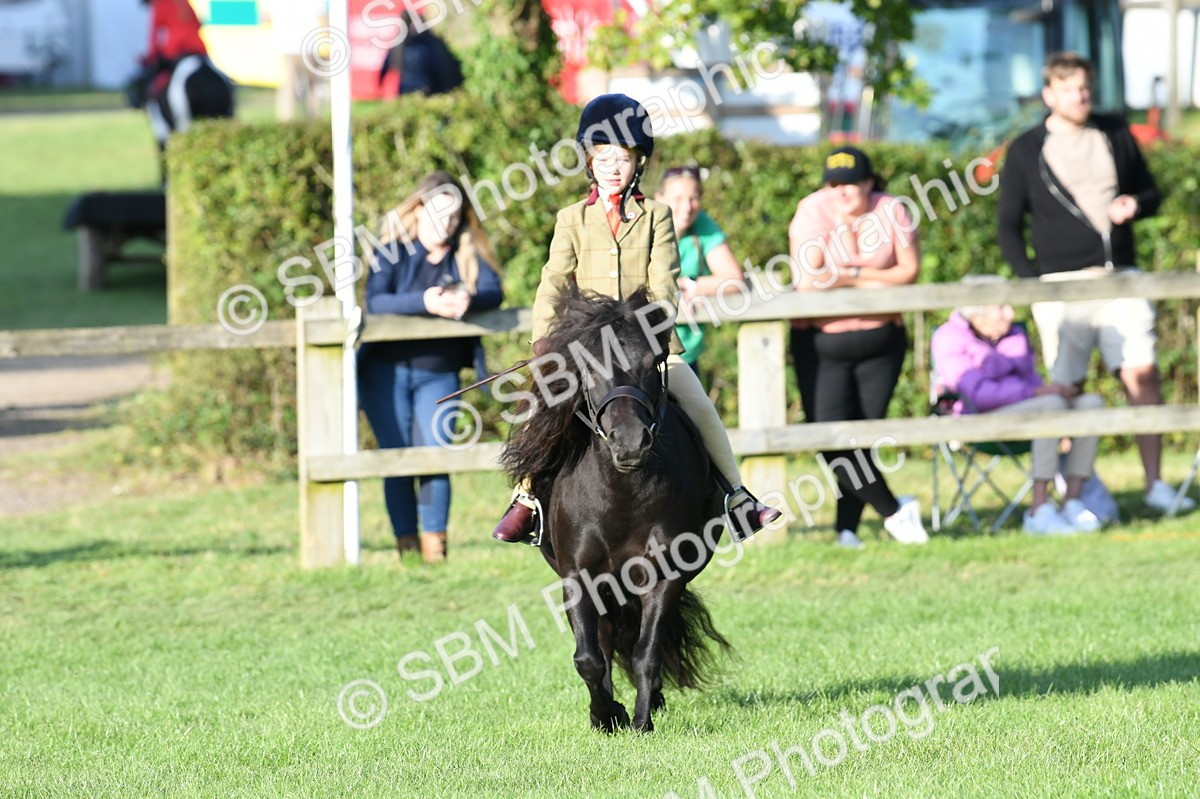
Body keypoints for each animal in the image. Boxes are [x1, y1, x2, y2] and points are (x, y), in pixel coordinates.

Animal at [500, 289, 732, 733]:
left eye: (650, 364)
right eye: (589, 368)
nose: (630, 444)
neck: (621, 494)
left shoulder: (665, 575)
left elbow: (646, 652)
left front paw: (641, 721)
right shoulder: (579, 578)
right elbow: (588, 658)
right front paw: (606, 716)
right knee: (605, 641)